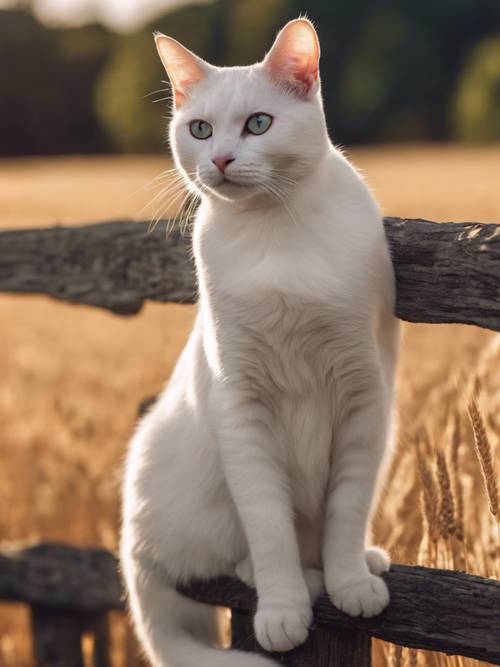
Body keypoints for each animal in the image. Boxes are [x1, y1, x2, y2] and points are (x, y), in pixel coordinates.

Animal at [123, 18, 400, 664]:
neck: (275, 235)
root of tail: (132, 541)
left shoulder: (364, 396)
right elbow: (269, 523)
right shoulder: (241, 406)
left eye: (258, 124)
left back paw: (354, 564)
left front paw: (350, 578)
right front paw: (283, 608)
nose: (221, 158)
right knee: (229, 556)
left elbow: (348, 506)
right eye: (200, 129)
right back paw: (295, 579)